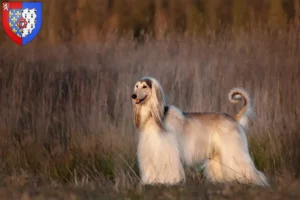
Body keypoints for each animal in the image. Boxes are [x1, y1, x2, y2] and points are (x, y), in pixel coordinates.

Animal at [132, 76, 268, 186]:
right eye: (136, 86)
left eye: (144, 86)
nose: (133, 96)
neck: (154, 118)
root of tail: (233, 118)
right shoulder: (150, 150)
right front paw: (151, 182)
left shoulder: (166, 150)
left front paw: (169, 181)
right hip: (218, 153)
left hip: (233, 149)